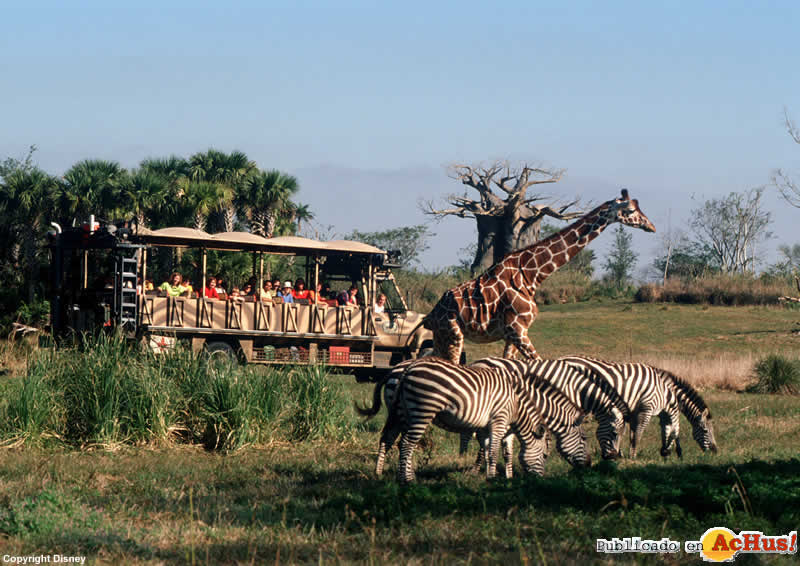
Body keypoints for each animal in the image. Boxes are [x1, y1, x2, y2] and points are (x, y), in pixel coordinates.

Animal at [356, 360, 552, 484]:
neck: (516, 404)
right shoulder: (499, 420)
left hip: (399, 413)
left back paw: (381, 474)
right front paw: (493, 478)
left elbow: (487, 450)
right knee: (406, 444)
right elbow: (493, 451)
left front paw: (488, 476)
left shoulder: (485, 426)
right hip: (422, 410)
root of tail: (406, 369)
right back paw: (408, 480)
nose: (541, 480)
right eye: (544, 456)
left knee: (388, 440)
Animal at [422, 191, 652, 364]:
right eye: (631, 210)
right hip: (453, 334)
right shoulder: (517, 330)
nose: (651, 226)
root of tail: (431, 315)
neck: (532, 275)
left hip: (441, 338)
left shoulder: (513, 333)